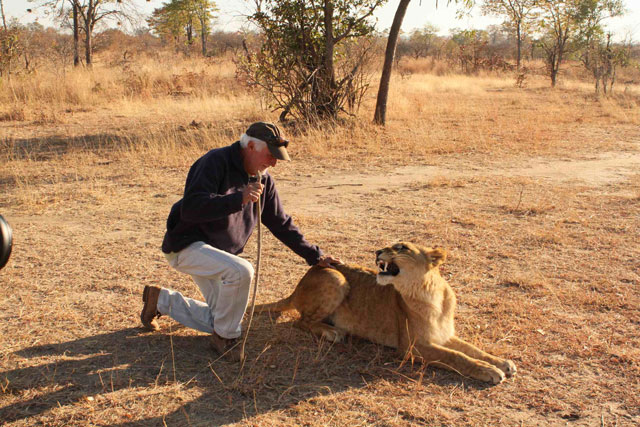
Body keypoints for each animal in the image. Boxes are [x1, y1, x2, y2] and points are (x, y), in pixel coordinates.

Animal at [258, 242, 516, 386]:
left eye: (402, 247)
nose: (377, 250)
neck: (429, 292)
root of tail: (299, 283)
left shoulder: (443, 335)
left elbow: (473, 350)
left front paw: (502, 363)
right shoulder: (412, 347)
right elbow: (456, 357)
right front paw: (489, 371)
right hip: (336, 277)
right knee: (302, 322)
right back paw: (332, 332)